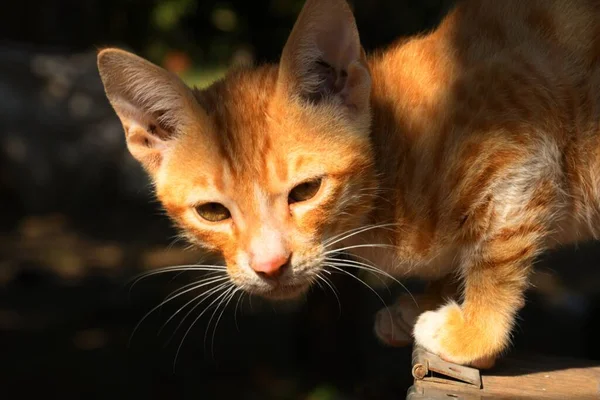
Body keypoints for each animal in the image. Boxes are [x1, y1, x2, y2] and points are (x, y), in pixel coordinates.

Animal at [96, 0, 600, 368]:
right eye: (213, 212)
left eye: (306, 191)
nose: (270, 266)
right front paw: (426, 299)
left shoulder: (519, 147)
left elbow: (496, 250)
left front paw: (476, 330)